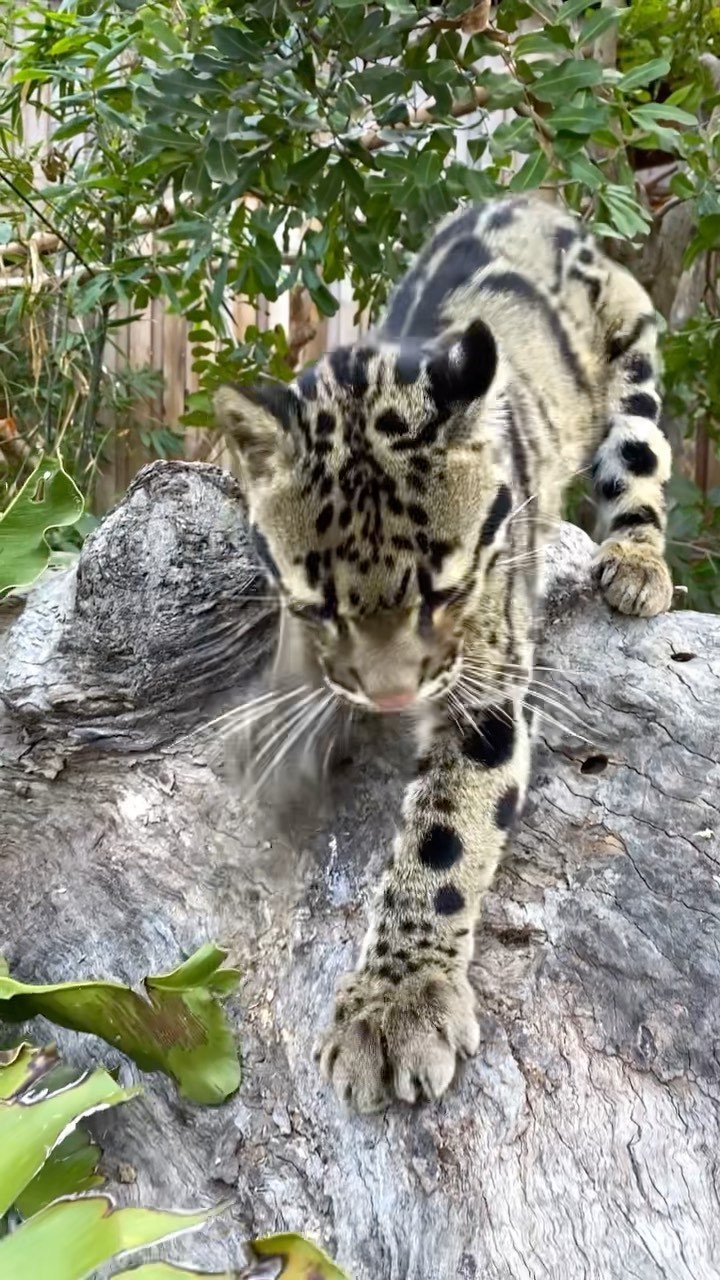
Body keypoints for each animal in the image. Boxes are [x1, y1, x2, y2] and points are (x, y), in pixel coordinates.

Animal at [212, 192, 671, 1111]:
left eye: (447, 589)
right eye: (317, 603)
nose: (391, 697)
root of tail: (534, 201)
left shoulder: (489, 680)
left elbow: (448, 831)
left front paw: (397, 1002)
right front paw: (277, 740)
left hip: (631, 348)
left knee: (641, 452)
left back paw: (637, 560)